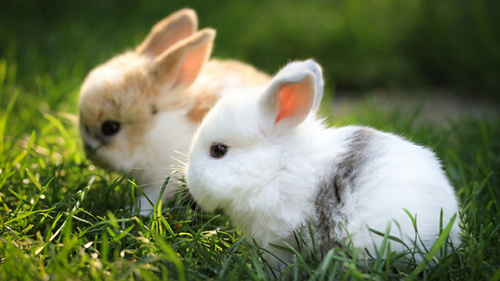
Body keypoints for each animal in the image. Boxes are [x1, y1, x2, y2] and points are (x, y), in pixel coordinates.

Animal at [79, 8, 270, 214]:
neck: (154, 131)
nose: (90, 154)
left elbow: (154, 196)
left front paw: (133, 211)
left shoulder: (165, 177)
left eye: (110, 127)